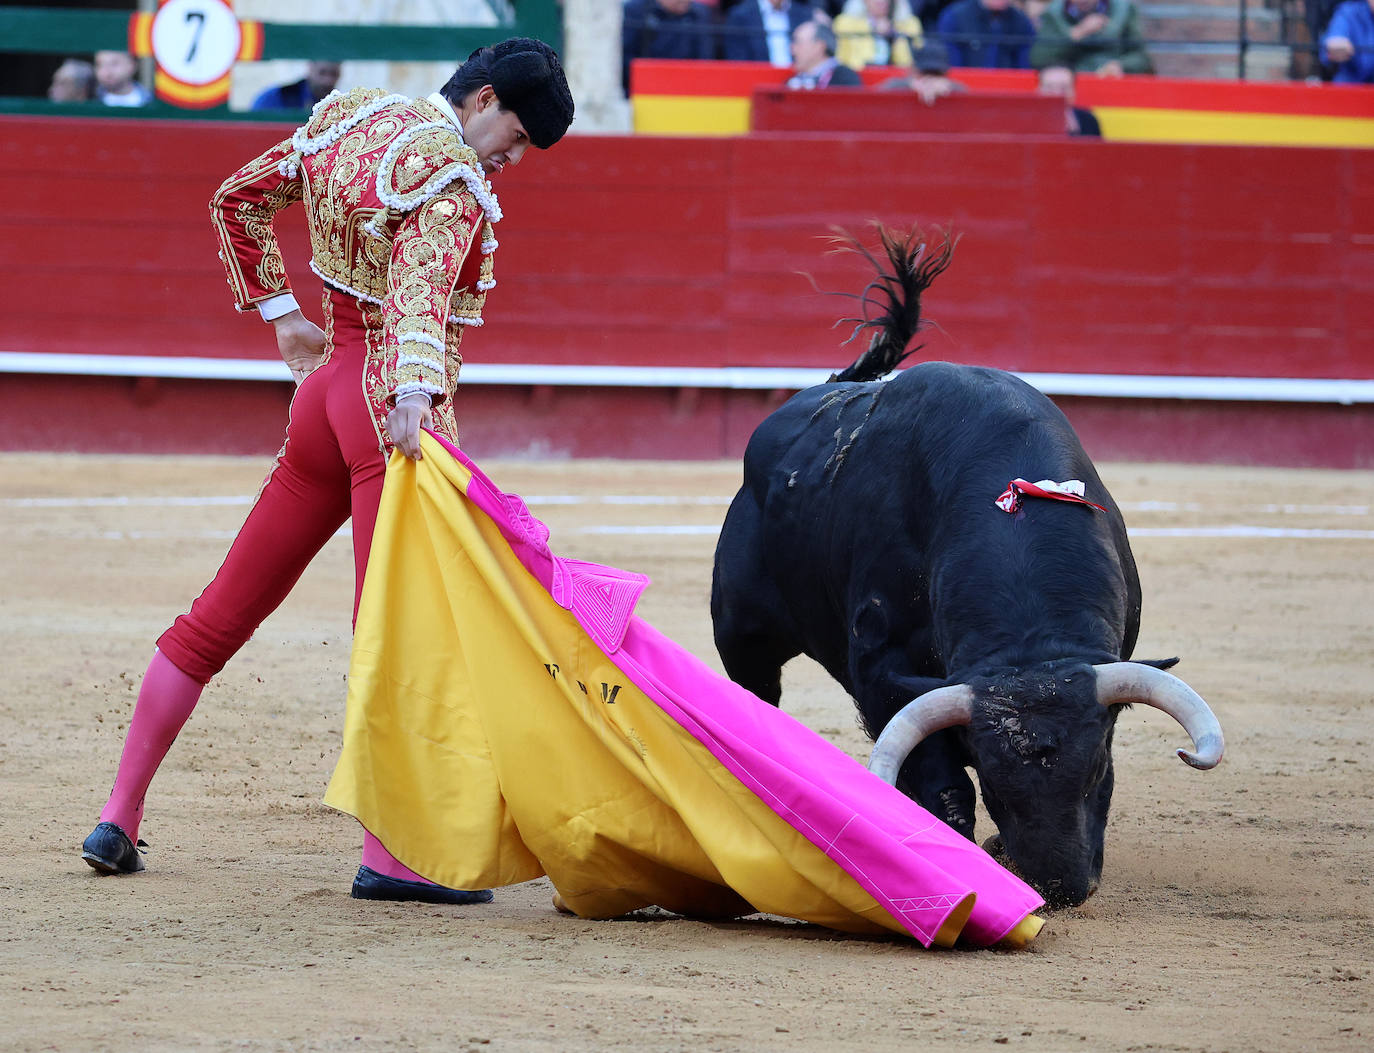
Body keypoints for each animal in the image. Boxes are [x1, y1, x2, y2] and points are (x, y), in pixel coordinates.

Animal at [708, 228, 1225, 907]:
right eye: (1000, 788)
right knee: (755, 695)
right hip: (742, 633)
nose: (1059, 885)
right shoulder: (884, 671)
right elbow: (944, 783)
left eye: (1096, 772)